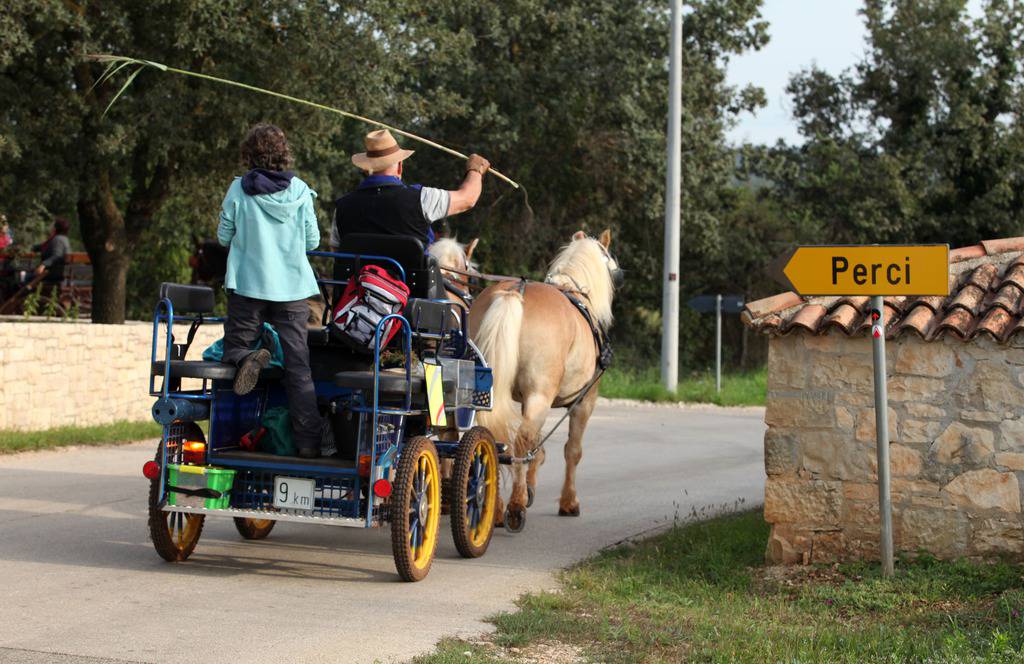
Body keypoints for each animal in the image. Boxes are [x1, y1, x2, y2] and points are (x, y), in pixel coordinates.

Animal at [468, 230, 618, 524]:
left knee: (495, 437)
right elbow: (572, 451)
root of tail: (515, 293)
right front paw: (568, 502)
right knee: (521, 440)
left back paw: (497, 509)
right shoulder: (583, 402)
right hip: (541, 395)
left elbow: (536, 446)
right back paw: (515, 507)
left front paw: (530, 484)